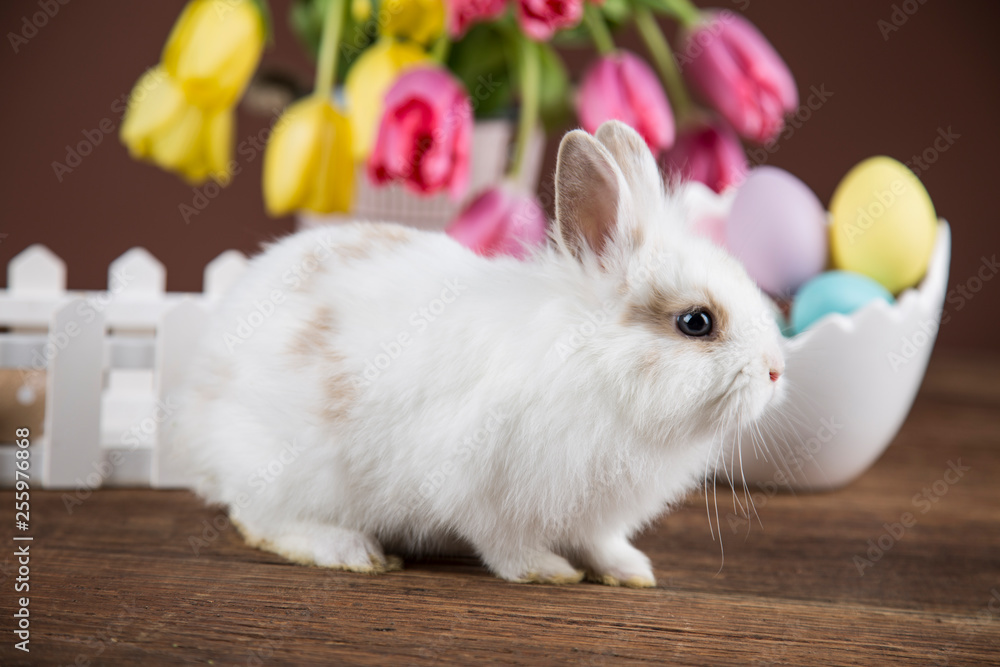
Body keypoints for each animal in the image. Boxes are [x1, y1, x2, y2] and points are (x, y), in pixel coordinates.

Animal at [171, 120, 786, 588]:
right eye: (696, 322)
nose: (777, 371)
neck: (595, 364)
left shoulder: (593, 510)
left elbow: (600, 541)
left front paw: (630, 571)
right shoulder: (481, 488)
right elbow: (506, 546)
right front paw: (548, 571)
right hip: (288, 473)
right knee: (259, 519)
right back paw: (351, 551)